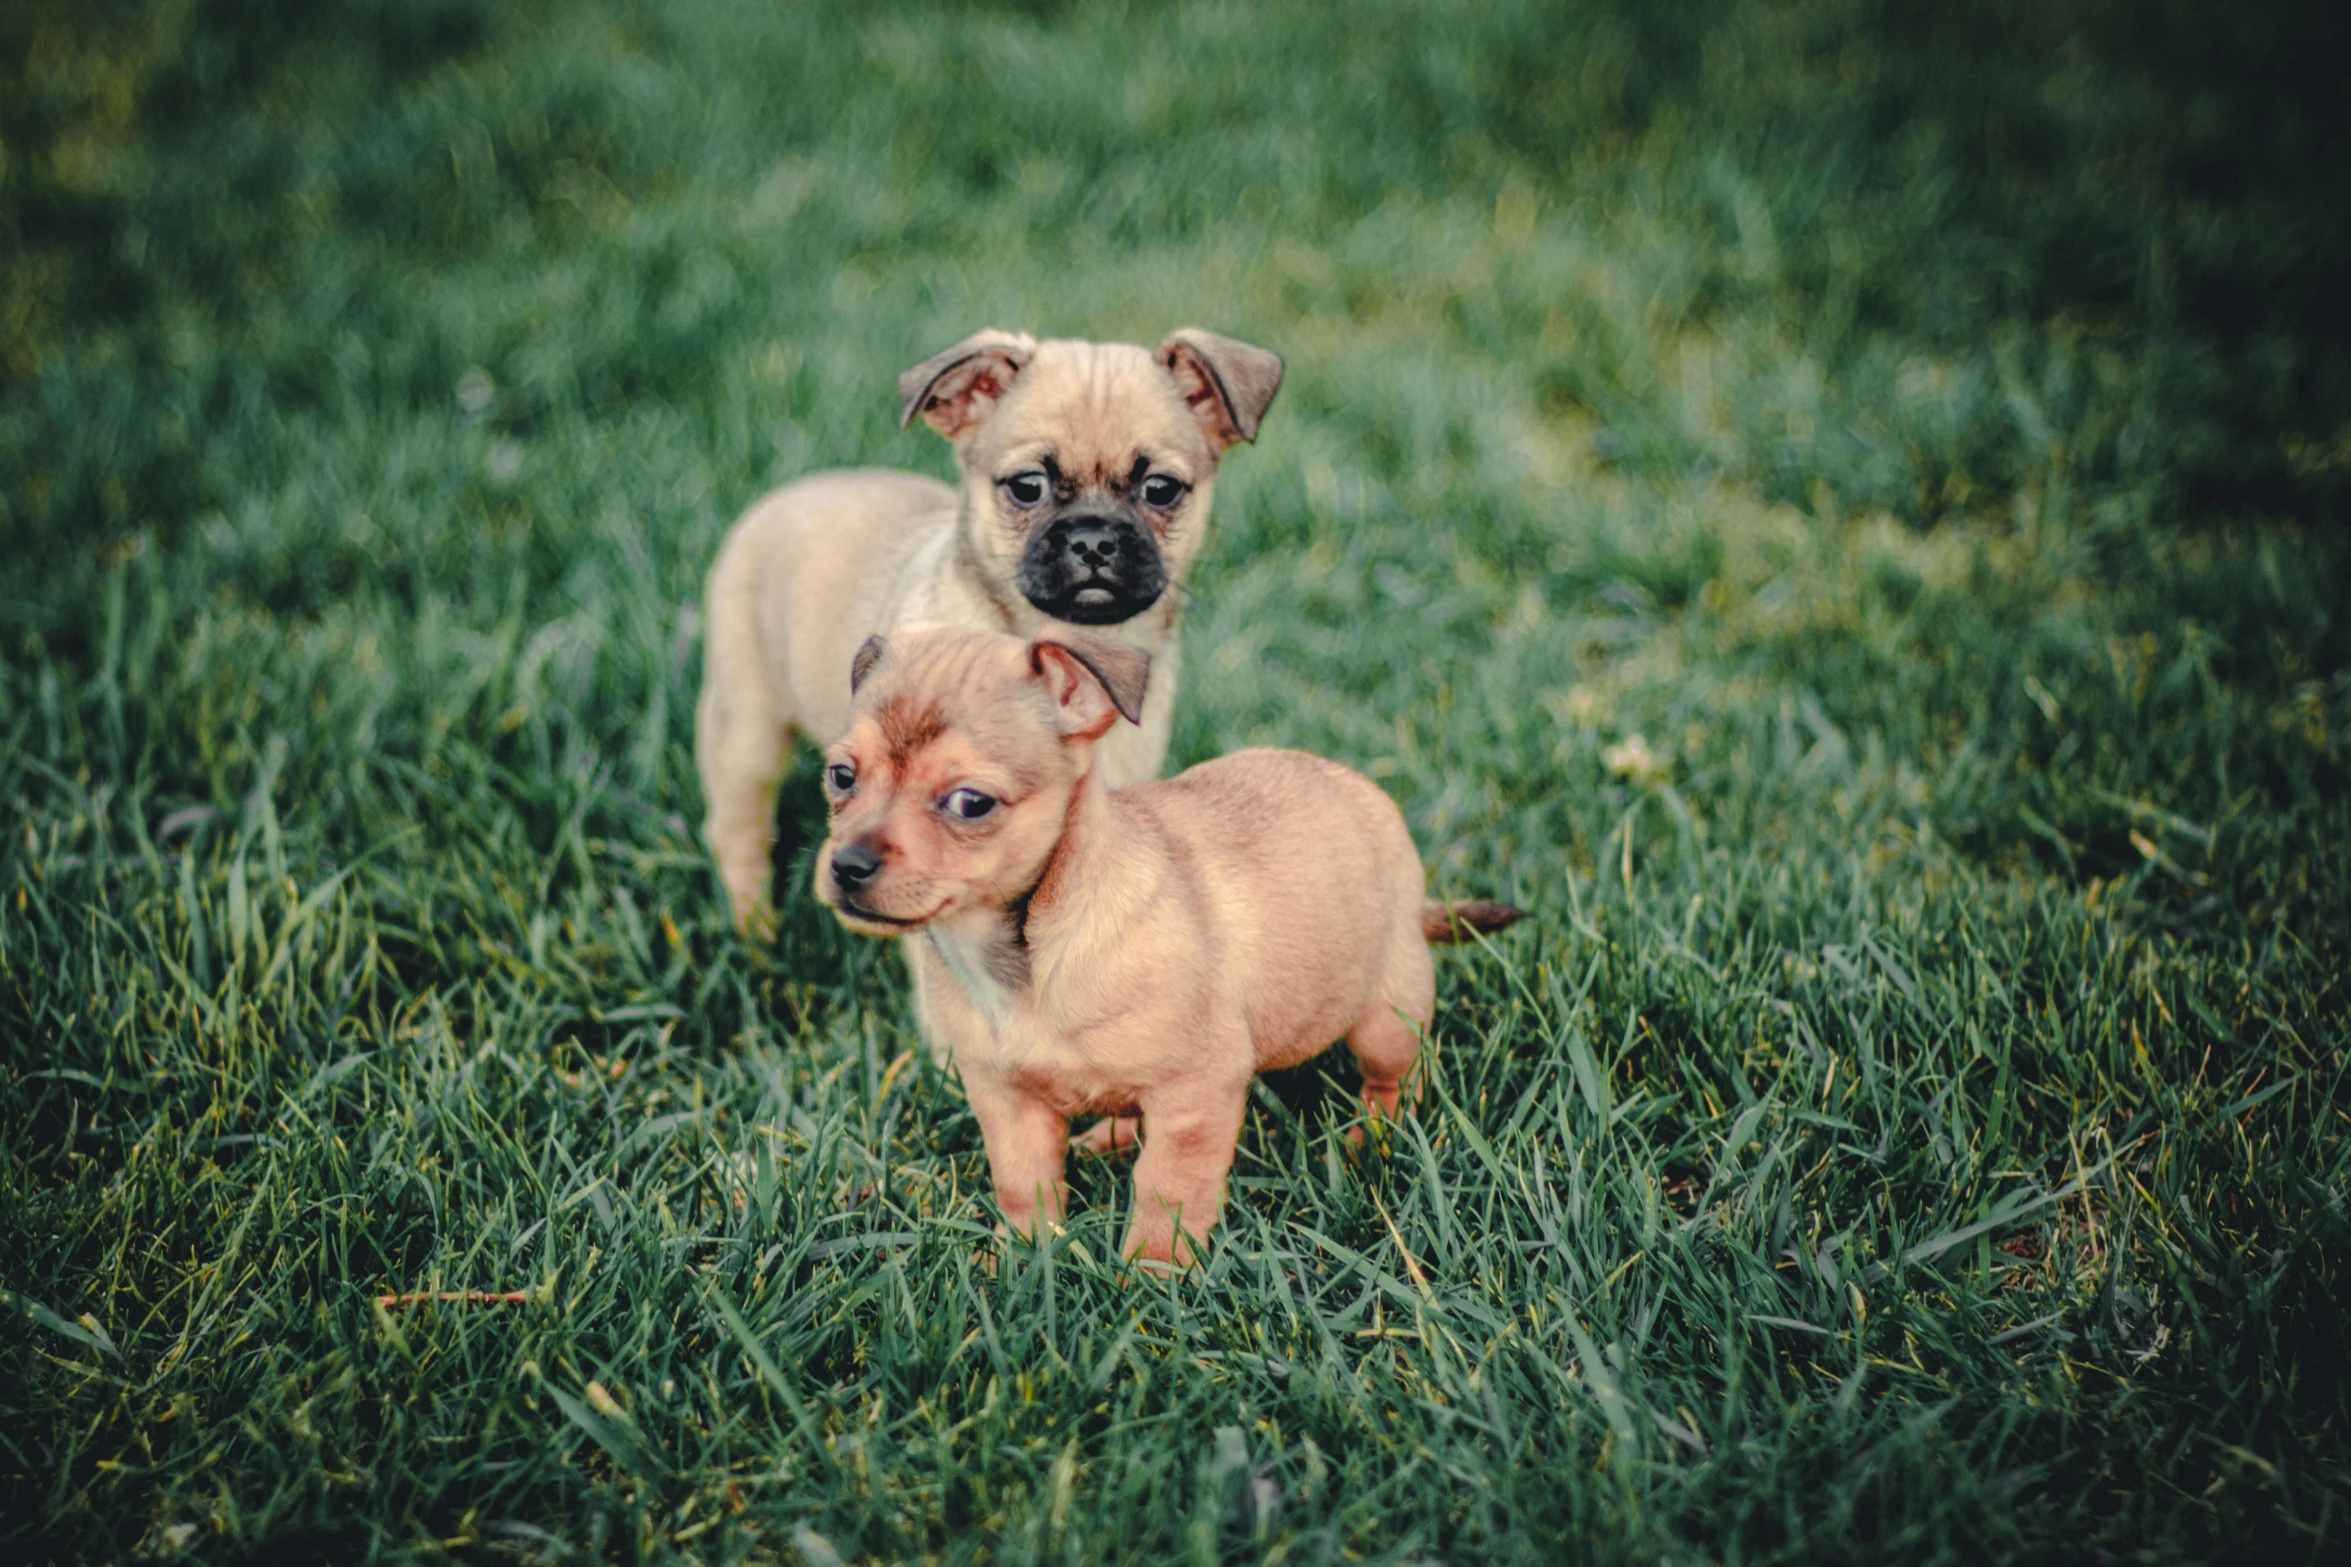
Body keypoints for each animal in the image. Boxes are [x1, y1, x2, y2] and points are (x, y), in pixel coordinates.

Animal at [695, 321, 1288, 930]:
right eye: (1027, 487)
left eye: (1161, 490)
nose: (1094, 537)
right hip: (746, 732)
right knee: (738, 832)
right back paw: (755, 931)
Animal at [818, 620, 1532, 1268]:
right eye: (840, 776)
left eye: (970, 803)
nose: (847, 866)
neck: (1021, 957)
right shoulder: (1003, 1097)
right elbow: (1023, 1186)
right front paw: (1017, 1261)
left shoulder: (1196, 1095)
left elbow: (1168, 1190)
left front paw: (1152, 1278)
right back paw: (1106, 1137)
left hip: (1386, 1018)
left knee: (1395, 1081)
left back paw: (1373, 1137)